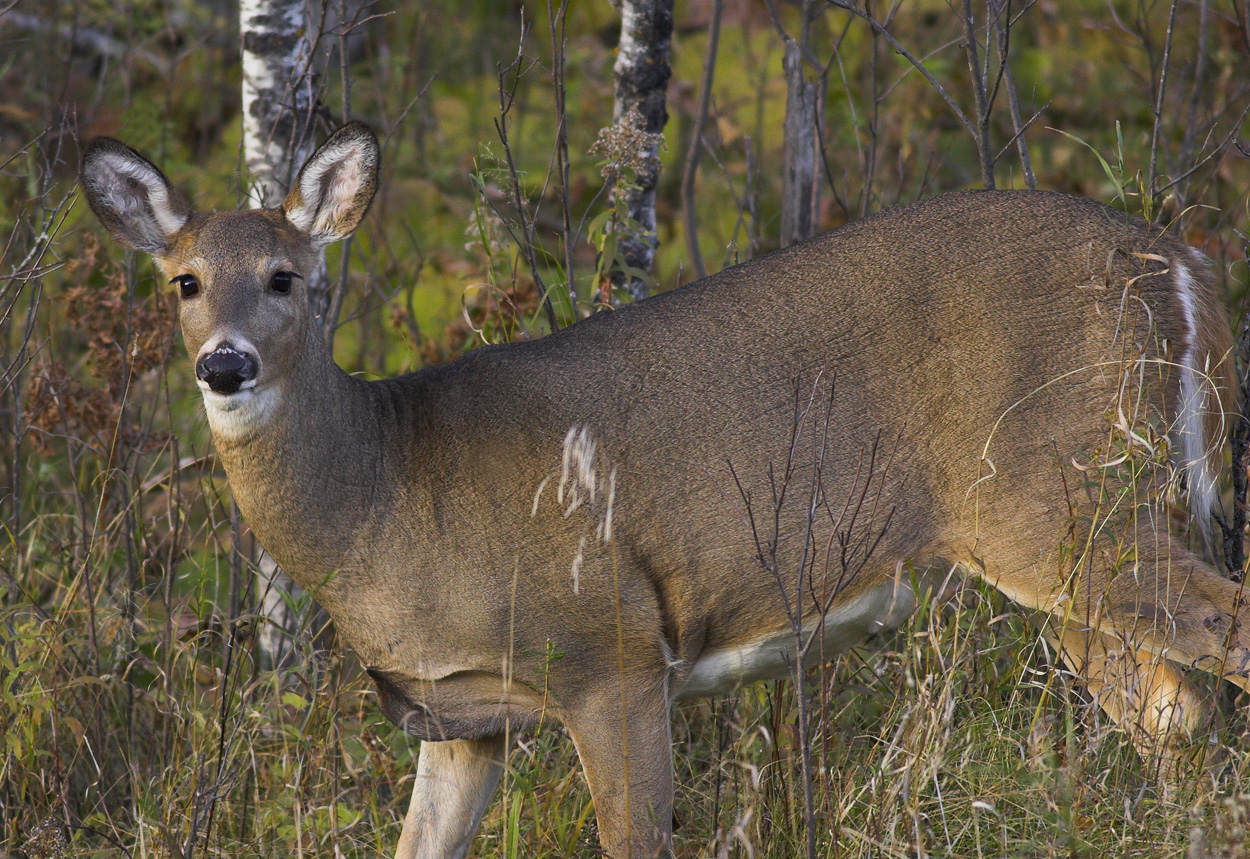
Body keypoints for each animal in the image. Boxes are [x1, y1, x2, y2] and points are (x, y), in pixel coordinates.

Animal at [80, 122, 1250, 859]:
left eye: (284, 277)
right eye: (183, 282)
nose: (223, 363)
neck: (388, 498)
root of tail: (1182, 266)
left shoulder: (611, 650)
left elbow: (633, 838)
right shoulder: (456, 716)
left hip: (1062, 500)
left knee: (1218, 646)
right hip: (1076, 534)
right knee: (1176, 711)